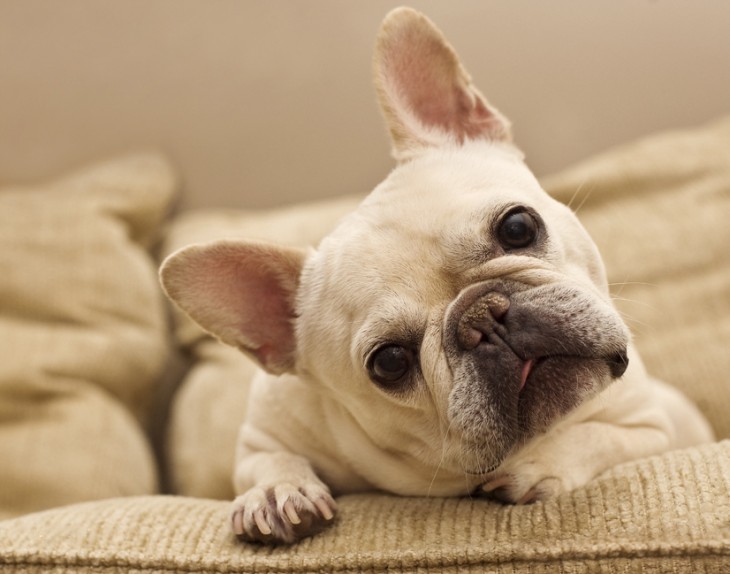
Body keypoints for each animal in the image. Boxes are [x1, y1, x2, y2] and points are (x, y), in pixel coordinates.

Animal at [159, 7, 712, 544]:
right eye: (390, 363)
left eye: (517, 226)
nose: (484, 317)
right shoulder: (263, 434)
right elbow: (265, 461)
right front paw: (275, 492)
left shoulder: (655, 424)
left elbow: (598, 436)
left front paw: (538, 464)